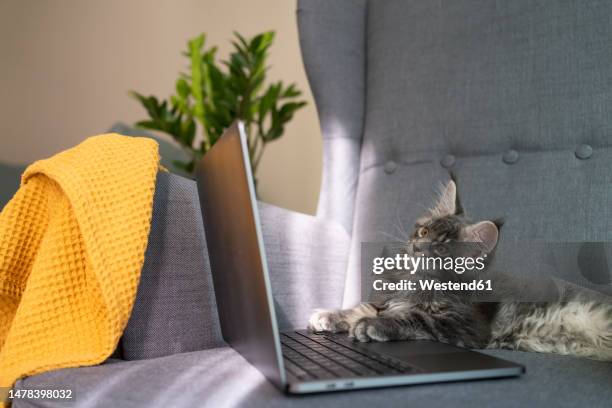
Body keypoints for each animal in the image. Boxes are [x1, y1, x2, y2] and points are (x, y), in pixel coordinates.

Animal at [308, 178, 612, 360]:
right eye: (424, 231)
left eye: (442, 250)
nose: (418, 248)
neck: (417, 281)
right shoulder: (388, 299)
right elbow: (362, 307)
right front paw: (328, 316)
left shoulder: (463, 325)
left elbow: (414, 318)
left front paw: (372, 325)